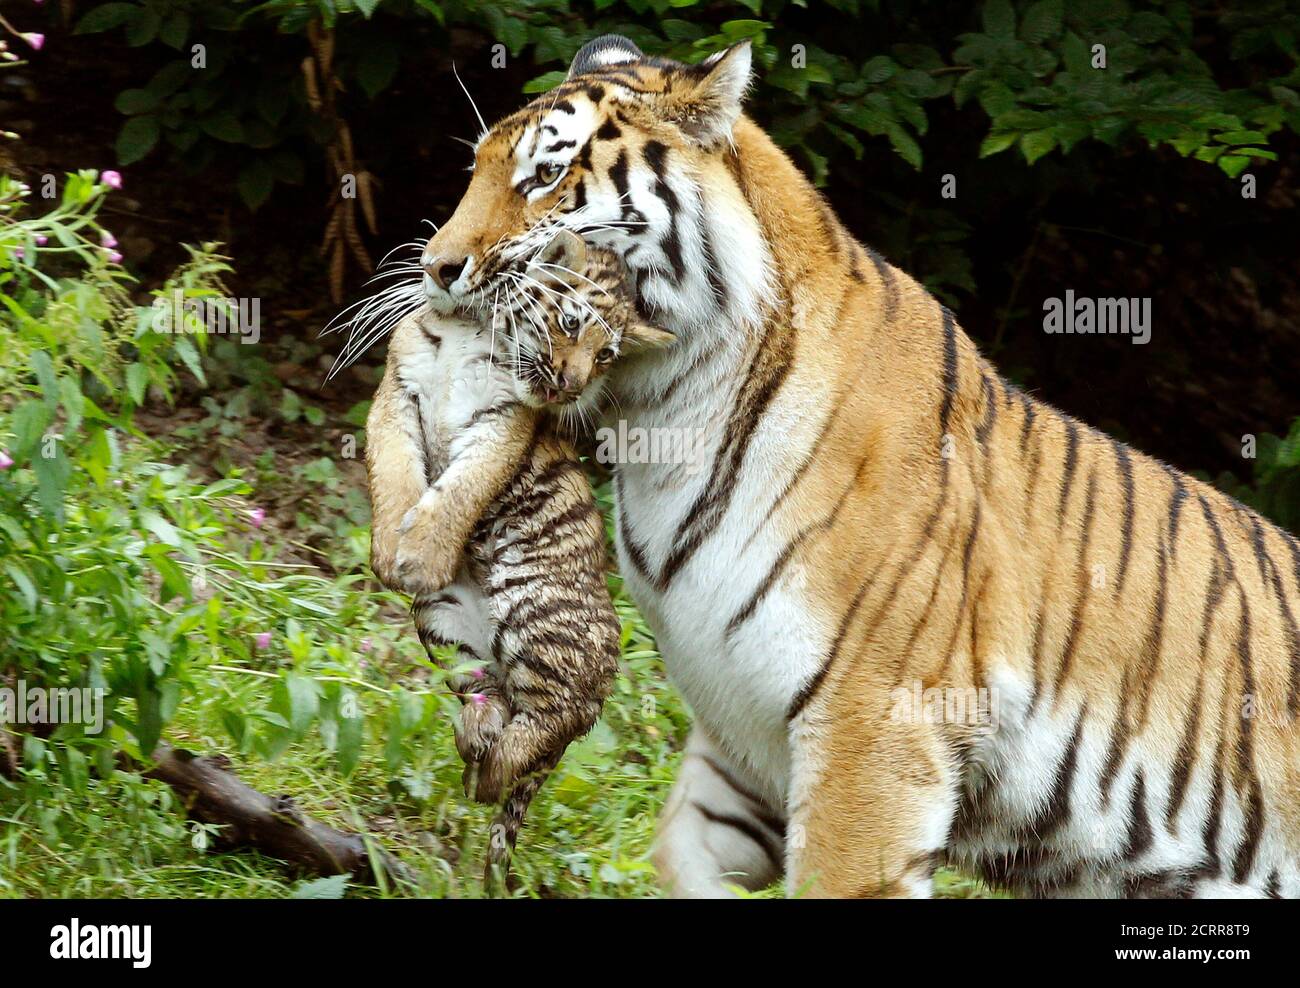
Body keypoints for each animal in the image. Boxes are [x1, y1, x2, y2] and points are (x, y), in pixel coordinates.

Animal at [408, 34, 1300, 899]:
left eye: (545, 176)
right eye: (477, 168)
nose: (436, 268)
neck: (662, 416)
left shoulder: (874, 728)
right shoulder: (744, 732)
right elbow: (679, 857)